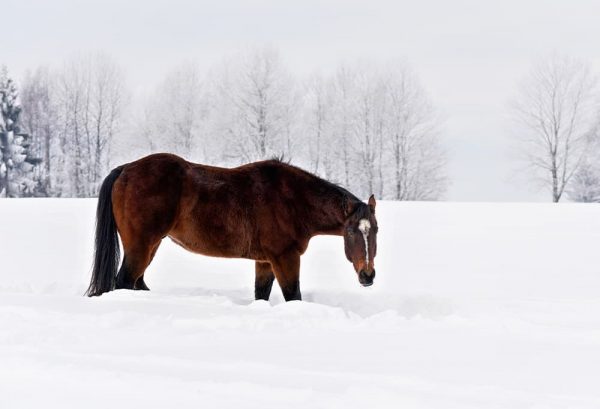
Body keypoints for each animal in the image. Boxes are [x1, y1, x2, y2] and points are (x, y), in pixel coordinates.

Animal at [85, 153, 376, 300]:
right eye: (352, 231)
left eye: (375, 230)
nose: (368, 275)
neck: (293, 198)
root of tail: (125, 169)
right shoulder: (285, 258)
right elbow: (293, 295)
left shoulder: (265, 261)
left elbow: (262, 294)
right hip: (141, 246)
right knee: (125, 282)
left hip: (151, 245)